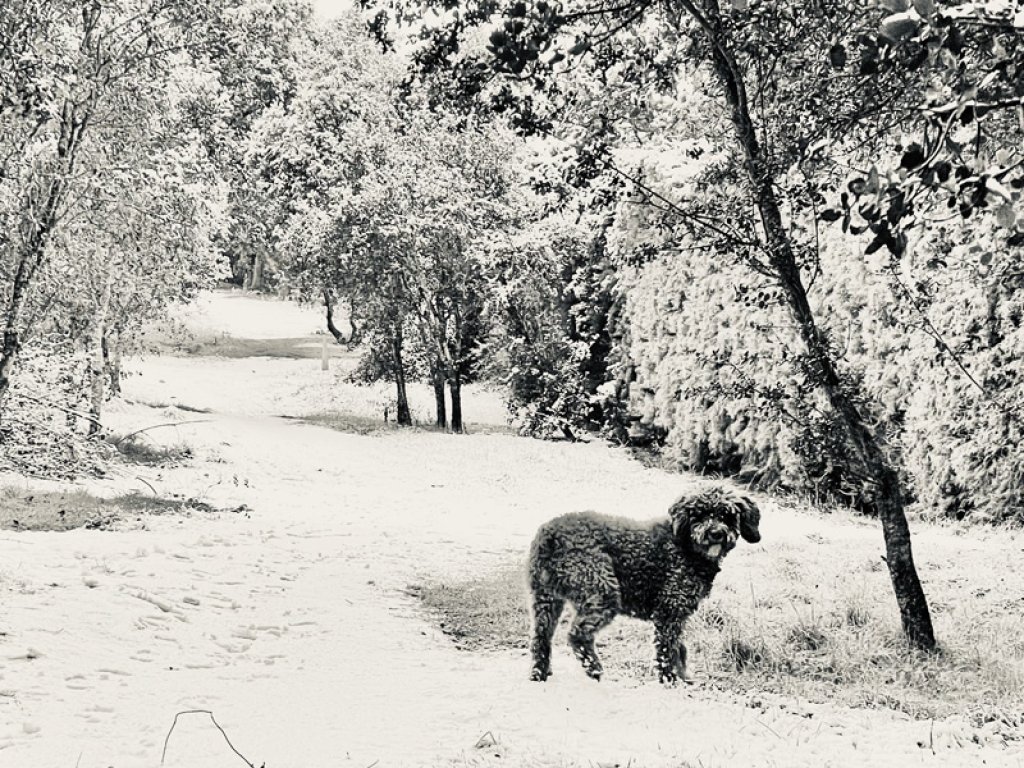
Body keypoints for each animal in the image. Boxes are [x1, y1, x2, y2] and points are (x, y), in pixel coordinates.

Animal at [528, 487, 761, 684]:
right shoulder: (669, 610)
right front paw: (669, 679)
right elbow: (667, 649)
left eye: (726, 515)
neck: (686, 546)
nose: (715, 533)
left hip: (546, 600)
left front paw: (683, 677)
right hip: (602, 592)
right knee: (578, 635)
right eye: (699, 515)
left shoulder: (677, 614)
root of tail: (550, 535)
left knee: (541, 638)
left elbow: (679, 648)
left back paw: (540, 672)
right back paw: (594, 669)